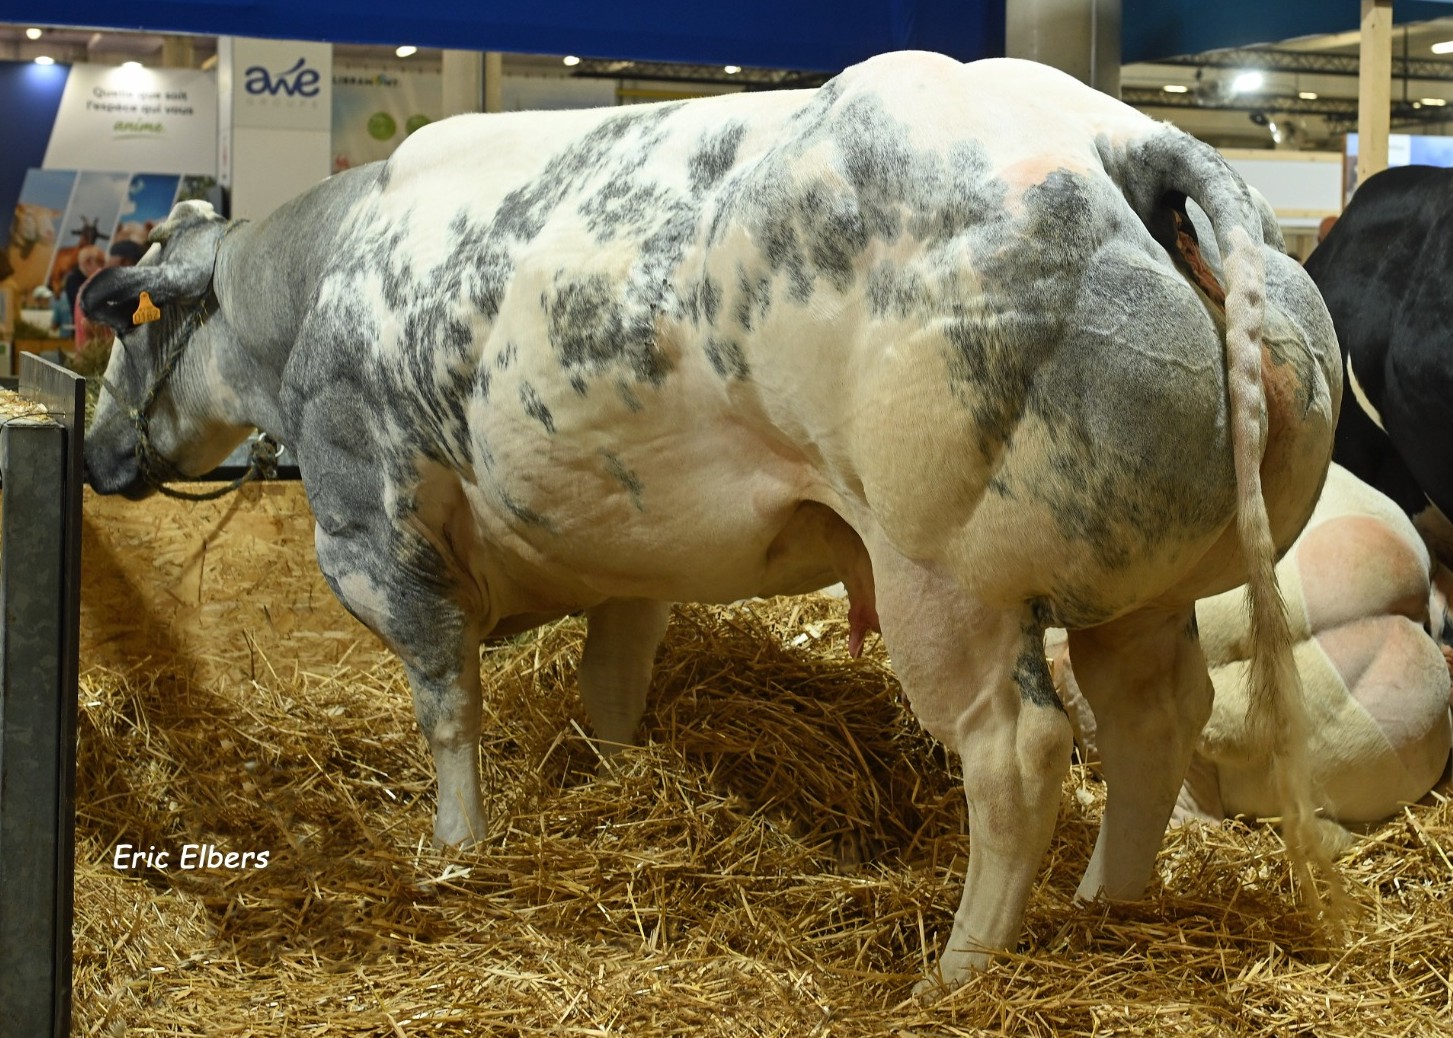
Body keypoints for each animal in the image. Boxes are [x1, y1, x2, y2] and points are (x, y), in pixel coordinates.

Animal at [80, 52, 1343, 990]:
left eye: (128, 324)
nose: (97, 453)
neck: (315, 287)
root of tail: (1118, 137)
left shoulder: (380, 538)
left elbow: (448, 711)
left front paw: (456, 850)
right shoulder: (626, 552)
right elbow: (610, 691)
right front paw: (607, 787)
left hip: (950, 581)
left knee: (1020, 753)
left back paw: (959, 972)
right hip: (1142, 582)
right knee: (1151, 722)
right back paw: (1105, 907)